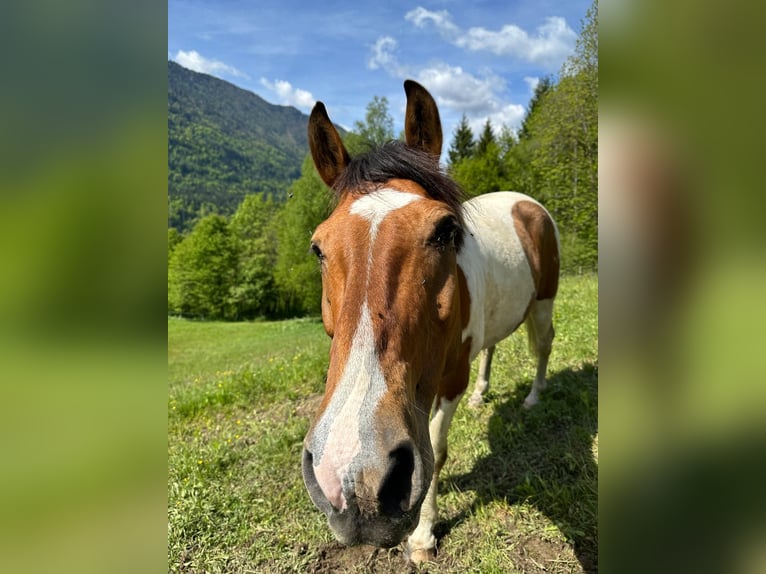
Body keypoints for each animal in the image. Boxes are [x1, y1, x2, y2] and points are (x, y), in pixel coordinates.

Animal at [304, 79, 560, 564]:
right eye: (318, 247)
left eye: (445, 231)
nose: (358, 478)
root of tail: (526, 203)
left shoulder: (450, 381)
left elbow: (437, 452)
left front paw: (422, 536)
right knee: (493, 345)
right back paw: (483, 395)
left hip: (543, 304)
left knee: (542, 346)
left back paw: (535, 397)